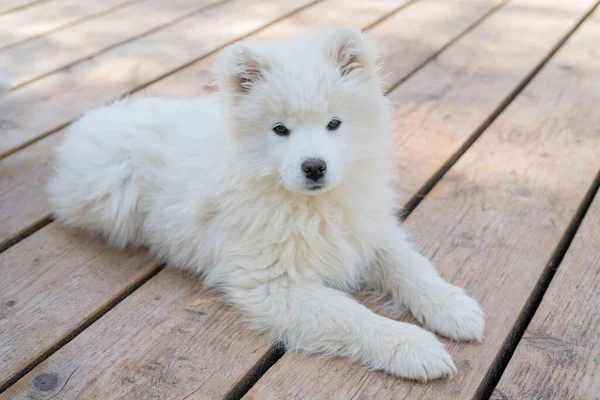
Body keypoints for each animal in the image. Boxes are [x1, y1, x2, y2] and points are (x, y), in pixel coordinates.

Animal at [49, 26, 486, 380]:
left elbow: (412, 267)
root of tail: (96, 118)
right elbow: (353, 316)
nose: (314, 166)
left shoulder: (368, 231)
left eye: (334, 123)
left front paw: (455, 308)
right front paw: (414, 347)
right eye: (280, 129)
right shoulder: (272, 285)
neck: (310, 205)